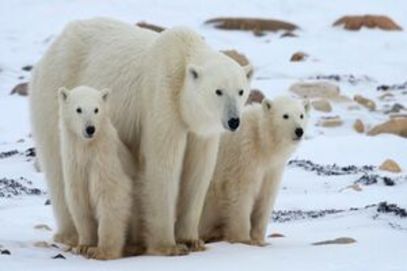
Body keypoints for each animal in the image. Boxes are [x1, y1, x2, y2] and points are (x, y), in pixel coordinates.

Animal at [30, 18, 252, 256]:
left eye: (240, 91)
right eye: (218, 91)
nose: (233, 121)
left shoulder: (200, 128)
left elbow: (198, 171)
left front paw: (192, 240)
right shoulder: (161, 97)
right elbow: (161, 164)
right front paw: (168, 246)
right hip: (56, 94)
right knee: (57, 164)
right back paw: (72, 236)